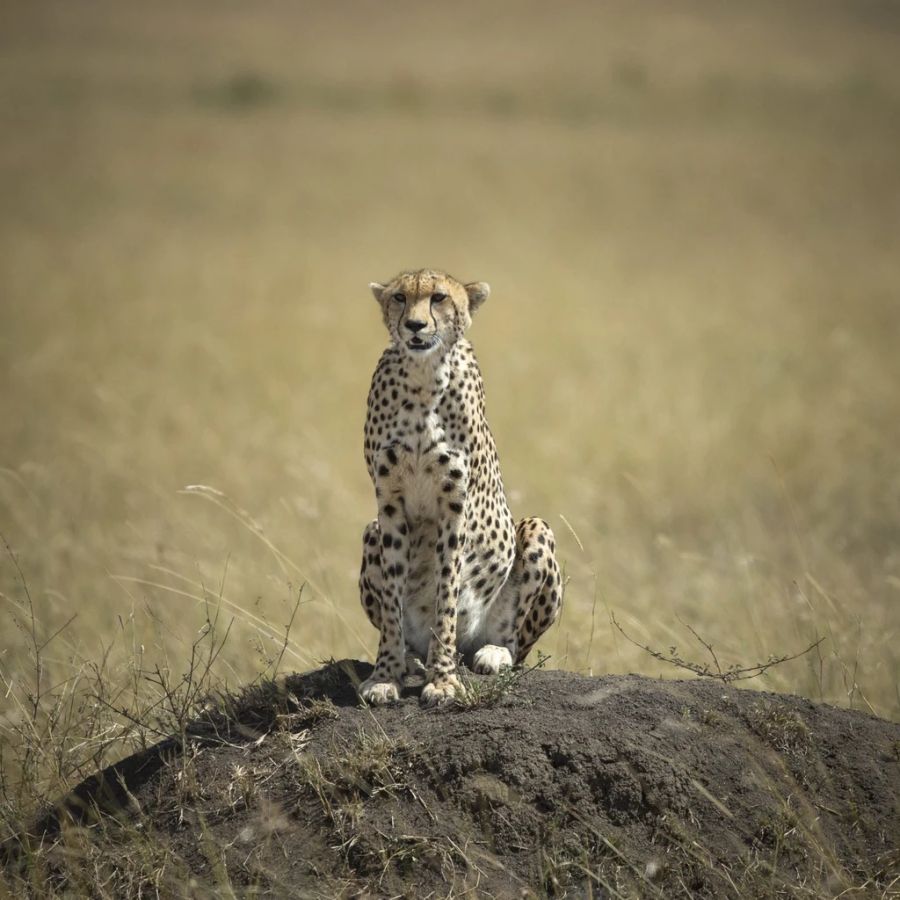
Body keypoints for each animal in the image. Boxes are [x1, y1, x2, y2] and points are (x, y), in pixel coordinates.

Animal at [358, 270, 564, 708]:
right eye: (399, 298)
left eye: (438, 298)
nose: (415, 325)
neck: (423, 379)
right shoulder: (388, 502)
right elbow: (392, 597)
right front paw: (385, 675)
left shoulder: (454, 505)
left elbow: (447, 592)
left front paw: (444, 681)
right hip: (370, 531)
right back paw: (411, 658)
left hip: (536, 529)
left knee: (516, 644)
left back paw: (491, 652)